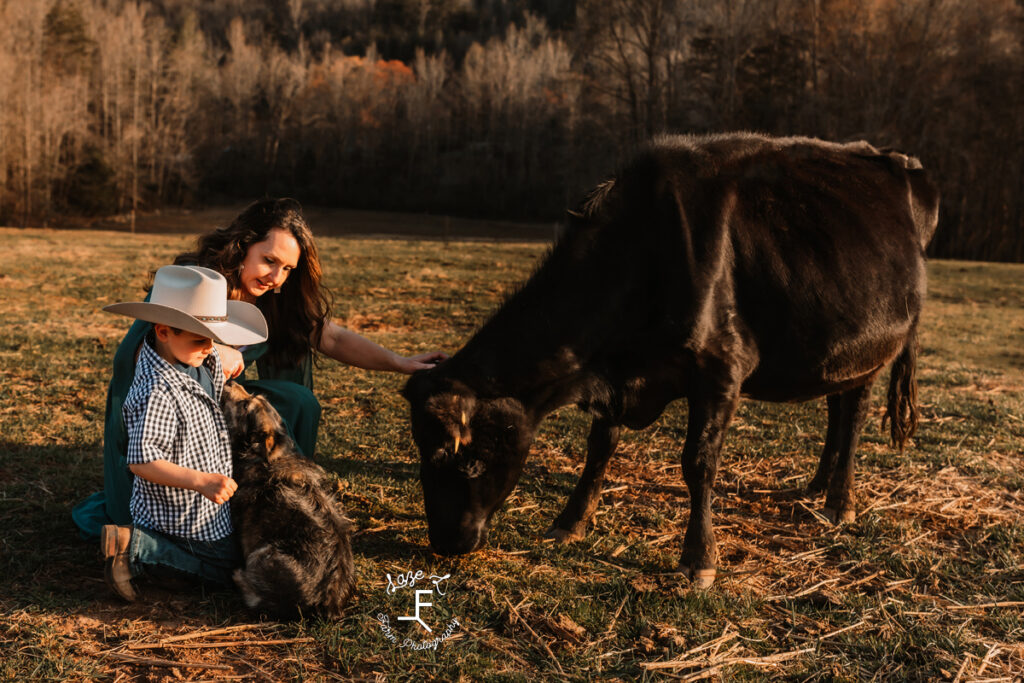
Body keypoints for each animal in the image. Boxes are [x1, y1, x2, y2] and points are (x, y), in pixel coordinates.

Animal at [403, 132, 937, 589]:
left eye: (467, 460)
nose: (446, 542)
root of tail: (897, 160)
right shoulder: (615, 379)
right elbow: (600, 449)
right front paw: (570, 522)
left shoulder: (720, 371)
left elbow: (697, 463)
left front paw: (699, 560)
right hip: (835, 350)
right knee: (835, 408)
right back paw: (815, 487)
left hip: (876, 347)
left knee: (854, 414)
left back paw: (839, 501)